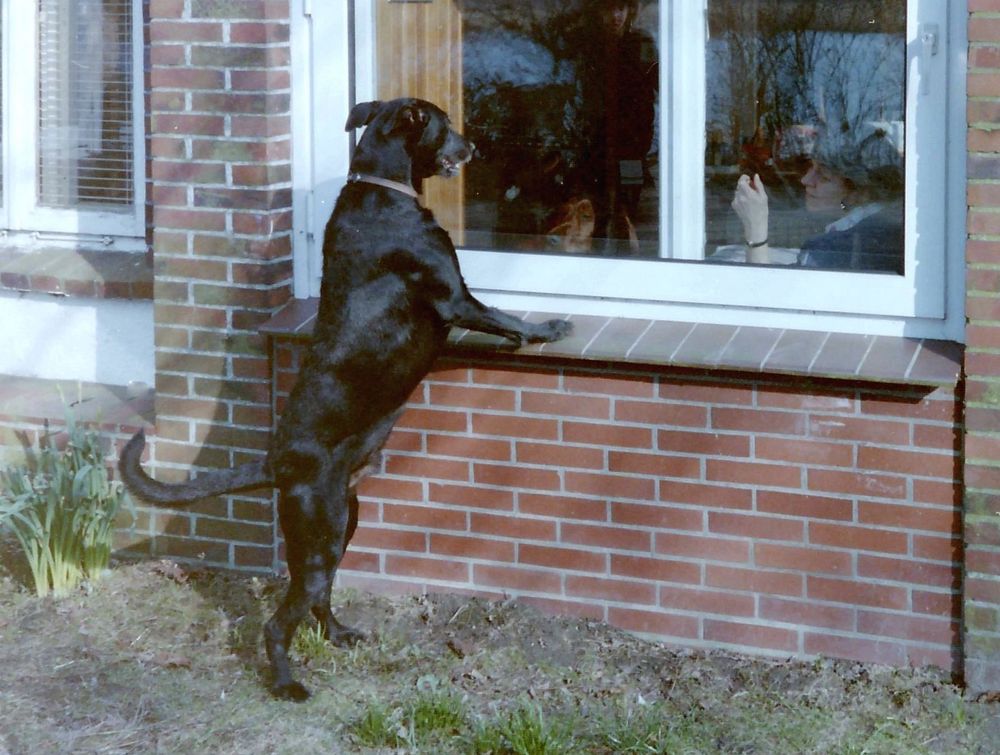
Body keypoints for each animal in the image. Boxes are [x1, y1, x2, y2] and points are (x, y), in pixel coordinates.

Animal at [119, 99, 572, 704]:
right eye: (444, 123)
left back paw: (338, 635)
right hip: (320, 533)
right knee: (281, 619)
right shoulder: (455, 298)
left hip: (342, 523)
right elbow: (508, 319)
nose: (474, 147)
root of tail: (277, 461)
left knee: (319, 598)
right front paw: (550, 326)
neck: (384, 187)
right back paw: (287, 683)